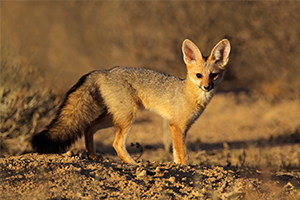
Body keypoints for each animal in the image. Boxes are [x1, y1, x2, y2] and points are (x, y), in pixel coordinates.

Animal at [31, 38, 231, 164]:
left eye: (213, 75)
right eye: (199, 76)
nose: (207, 87)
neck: (188, 94)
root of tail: (105, 71)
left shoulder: (181, 128)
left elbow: (176, 153)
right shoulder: (176, 126)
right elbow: (183, 155)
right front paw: (184, 168)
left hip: (113, 117)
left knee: (88, 128)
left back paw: (93, 156)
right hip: (127, 118)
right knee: (116, 143)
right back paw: (133, 164)